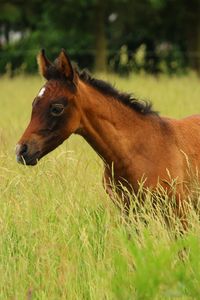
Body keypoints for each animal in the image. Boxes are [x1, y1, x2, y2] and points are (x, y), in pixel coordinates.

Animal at [16, 48, 200, 223]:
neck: (137, 153)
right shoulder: (130, 214)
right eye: (34, 104)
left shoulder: (178, 212)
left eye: (57, 108)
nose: (21, 150)